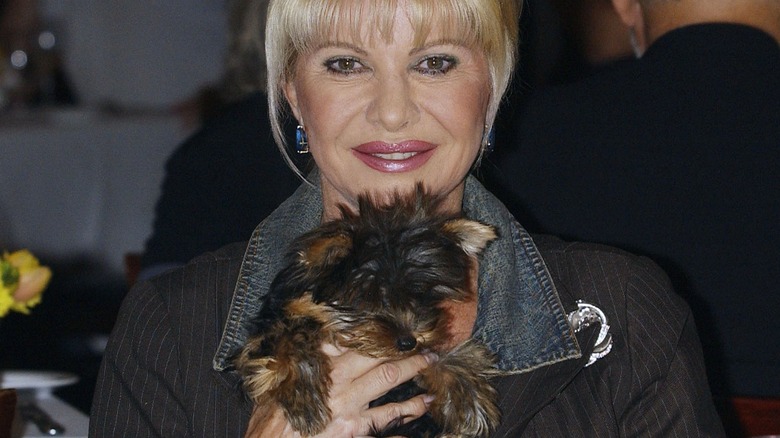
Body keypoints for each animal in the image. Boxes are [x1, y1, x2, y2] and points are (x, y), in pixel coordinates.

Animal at [233, 186, 500, 436]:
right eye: (367, 299)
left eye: (420, 296)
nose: (408, 342)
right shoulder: (267, 330)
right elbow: (287, 337)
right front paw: (304, 395)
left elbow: (438, 357)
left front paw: (467, 394)